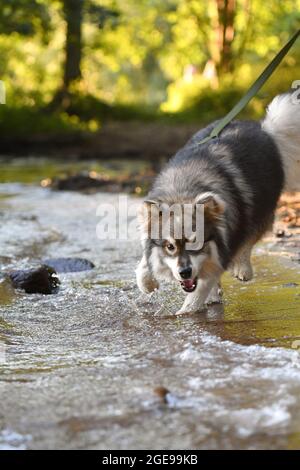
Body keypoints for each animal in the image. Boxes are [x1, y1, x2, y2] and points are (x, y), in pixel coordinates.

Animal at [137, 91, 300, 316]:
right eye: (170, 246)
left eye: (197, 242)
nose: (185, 272)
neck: (184, 191)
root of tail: (265, 130)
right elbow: (145, 262)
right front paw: (147, 282)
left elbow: (200, 289)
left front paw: (185, 313)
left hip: (260, 210)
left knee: (248, 240)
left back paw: (242, 268)